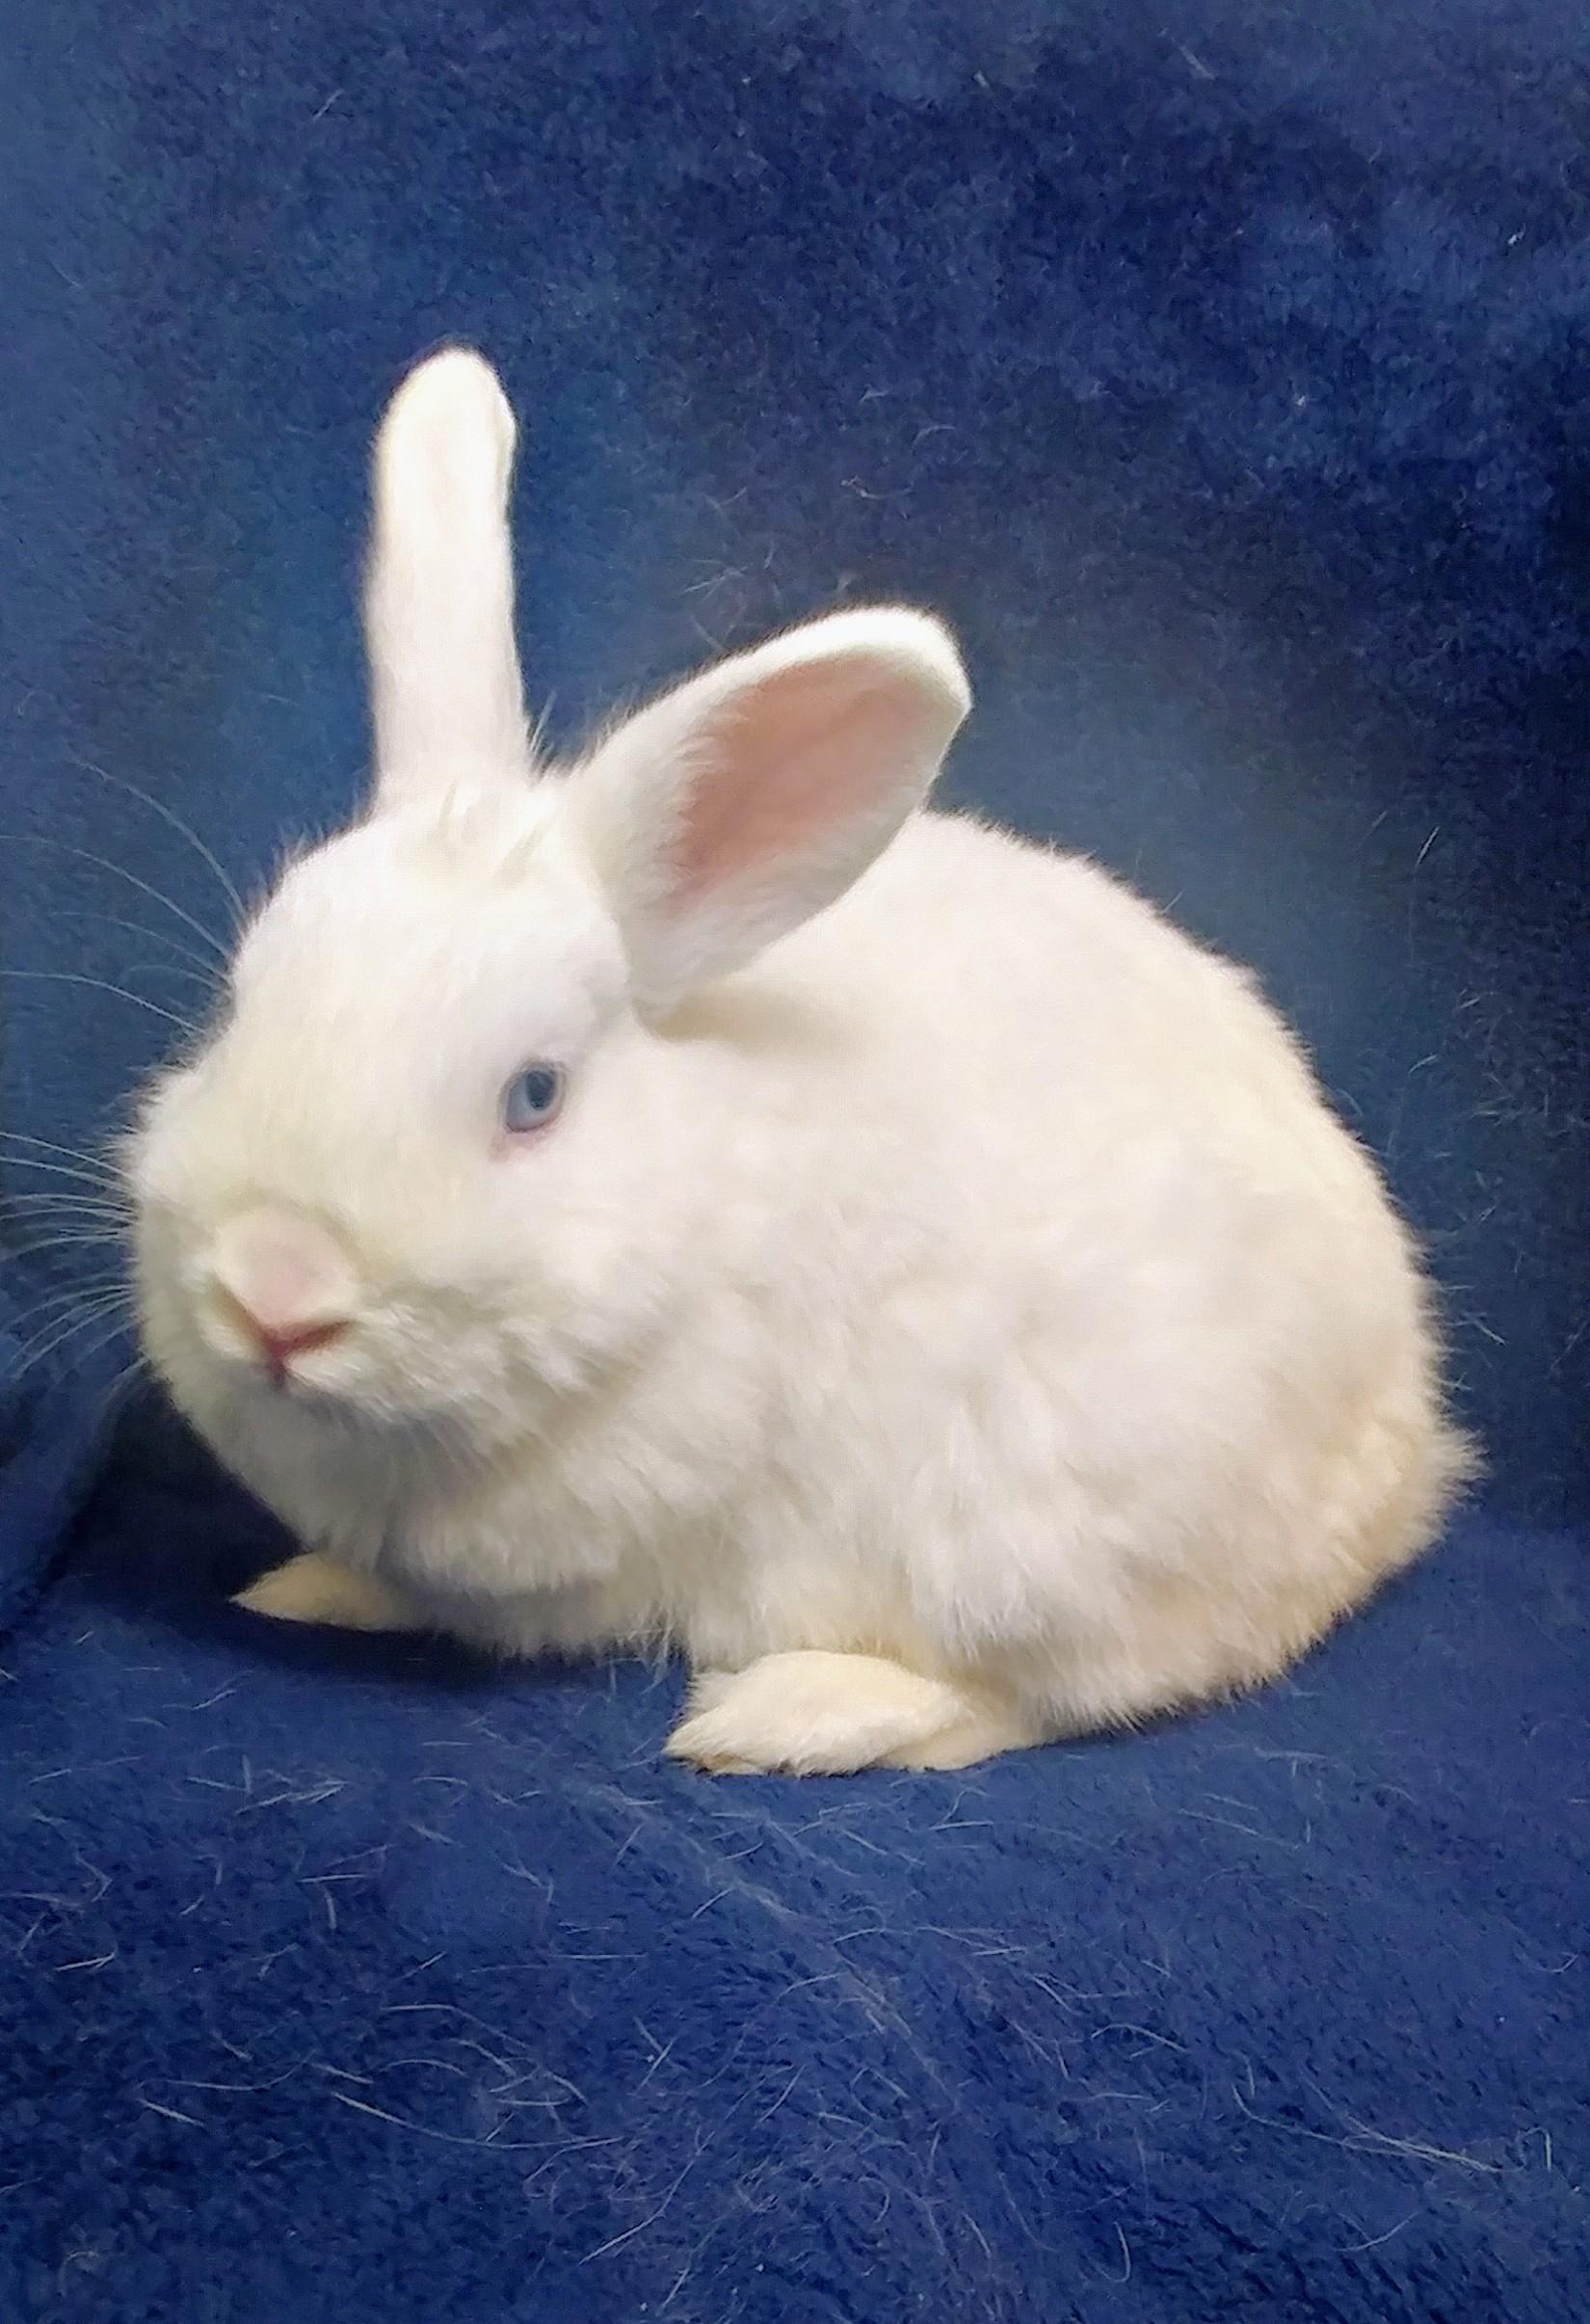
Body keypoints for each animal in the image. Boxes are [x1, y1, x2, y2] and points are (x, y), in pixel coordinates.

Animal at [127, 346, 1475, 1776]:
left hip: (1051, 1532)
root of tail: (1403, 1464)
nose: (275, 1289)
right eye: (236, 1007)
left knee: (1041, 1693)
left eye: (534, 1095)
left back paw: (793, 1712)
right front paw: (314, 1582)